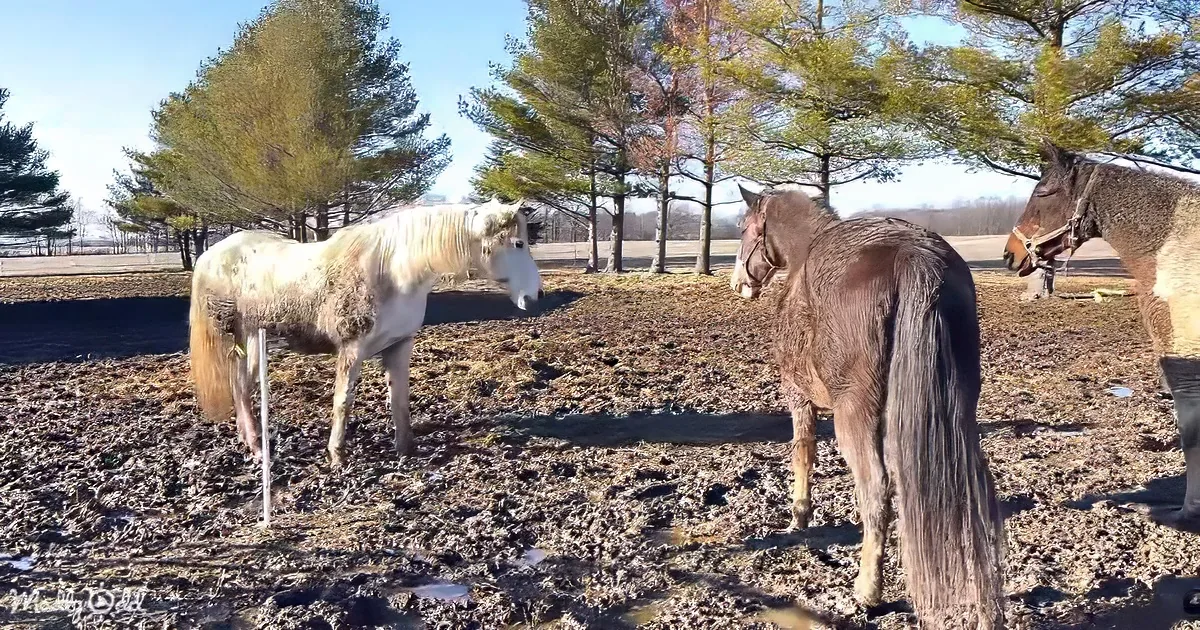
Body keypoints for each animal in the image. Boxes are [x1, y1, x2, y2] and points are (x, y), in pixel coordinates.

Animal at [187, 198, 543, 468]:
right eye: (518, 243)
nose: (534, 296)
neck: (395, 272)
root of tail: (210, 254)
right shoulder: (352, 349)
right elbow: (343, 400)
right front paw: (337, 456)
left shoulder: (400, 345)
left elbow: (399, 399)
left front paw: (406, 449)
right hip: (237, 336)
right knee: (240, 386)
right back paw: (259, 448)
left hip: (252, 340)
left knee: (242, 386)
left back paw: (252, 443)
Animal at [731, 185, 1005, 628]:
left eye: (744, 228)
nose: (740, 281)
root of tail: (915, 256)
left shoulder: (798, 395)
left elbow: (803, 452)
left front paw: (799, 516)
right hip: (953, 414)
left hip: (853, 416)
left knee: (875, 489)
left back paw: (866, 591)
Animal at [1003, 140, 1200, 529]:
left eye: (1043, 192)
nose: (1010, 254)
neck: (1174, 247)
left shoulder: (1184, 362)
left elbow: (1191, 434)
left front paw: (1187, 514)